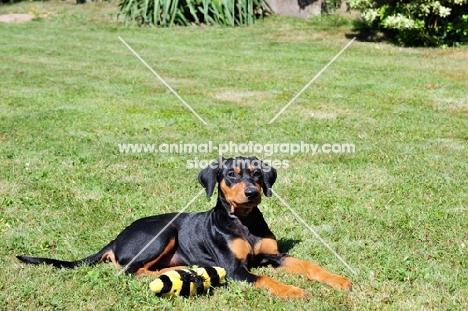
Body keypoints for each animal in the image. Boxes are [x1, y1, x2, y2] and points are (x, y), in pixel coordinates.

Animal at [16, 158, 352, 300]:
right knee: (129, 270)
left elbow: (308, 264)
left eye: (257, 174)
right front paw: (294, 290)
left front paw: (337, 280)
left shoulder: (274, 256)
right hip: (163, 233)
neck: (244, 221)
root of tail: (115, 238)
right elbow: (265, 279)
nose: (251, 194)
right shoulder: (234, 268)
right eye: (231, 174)